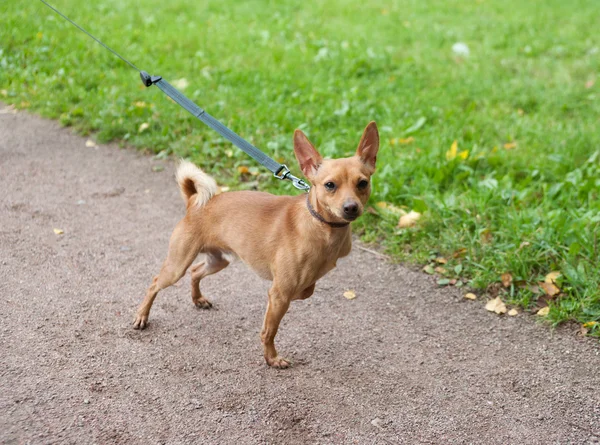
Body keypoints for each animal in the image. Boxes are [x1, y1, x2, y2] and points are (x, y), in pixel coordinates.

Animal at [135, 119, 380, 366]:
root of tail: (194, 201)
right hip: (177, 266)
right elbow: (269, 330)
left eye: (362, 183)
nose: (351, 207)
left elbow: (306, 291)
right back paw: (141, 316)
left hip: (218, 261)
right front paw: (271, 358)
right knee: (154, 283)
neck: (322, 227)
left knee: (195, 271)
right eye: (330, 185)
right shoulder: (279, 294)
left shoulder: (292, 288)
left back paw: (198, 299)